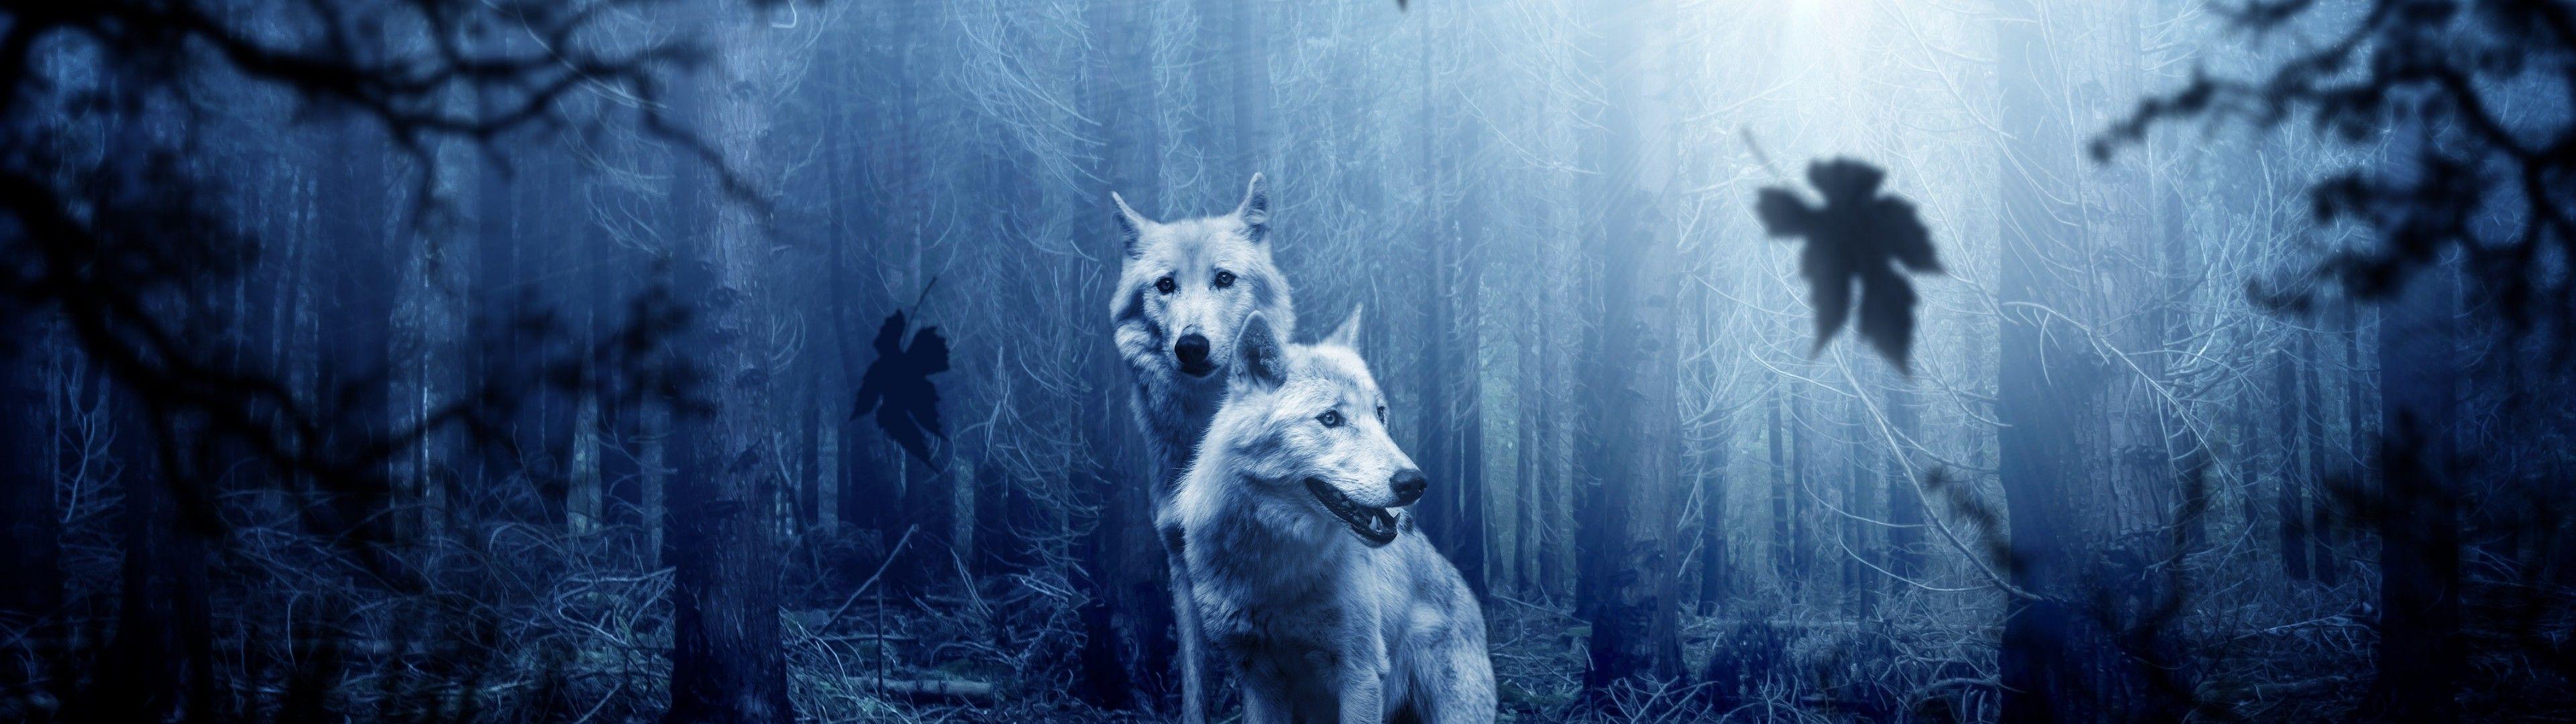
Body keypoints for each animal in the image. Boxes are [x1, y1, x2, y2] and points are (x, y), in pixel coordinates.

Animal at [1166, 309, 1496, 724]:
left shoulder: (1361, 674)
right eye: (1330, 419)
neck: (1274, 572)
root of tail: (1466, 591)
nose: (1415, 483)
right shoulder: (1256, 677)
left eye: (1380, 413)